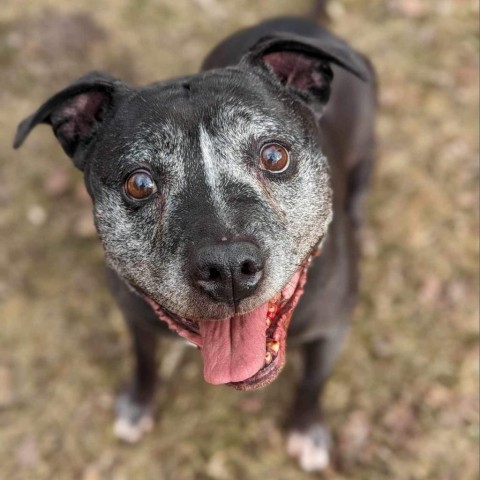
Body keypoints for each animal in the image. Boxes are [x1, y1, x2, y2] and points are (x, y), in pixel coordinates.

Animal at [13, 13, 376, 470]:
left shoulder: (332, 330)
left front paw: (307, 428)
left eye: (274, 156)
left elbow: (313, 382)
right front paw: (139, 404)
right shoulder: (136, 319)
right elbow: (144, 362)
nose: (228, 267)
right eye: (139, 183)